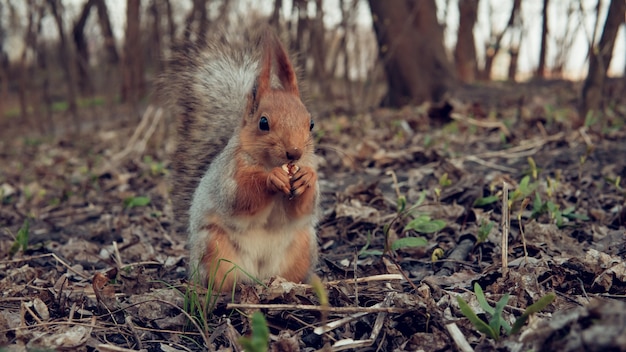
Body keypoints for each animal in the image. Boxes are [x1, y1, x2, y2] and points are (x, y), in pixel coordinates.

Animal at [158, 28, 320, 292]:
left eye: (311, 123)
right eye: (263, 122)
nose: (294, 152)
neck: (269, 162)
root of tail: (259, 274)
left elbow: (305, 207)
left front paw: (307, 178)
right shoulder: (229, 174)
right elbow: (240, 197)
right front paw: (271, 179)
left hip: (302, 247)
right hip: (215, 249)